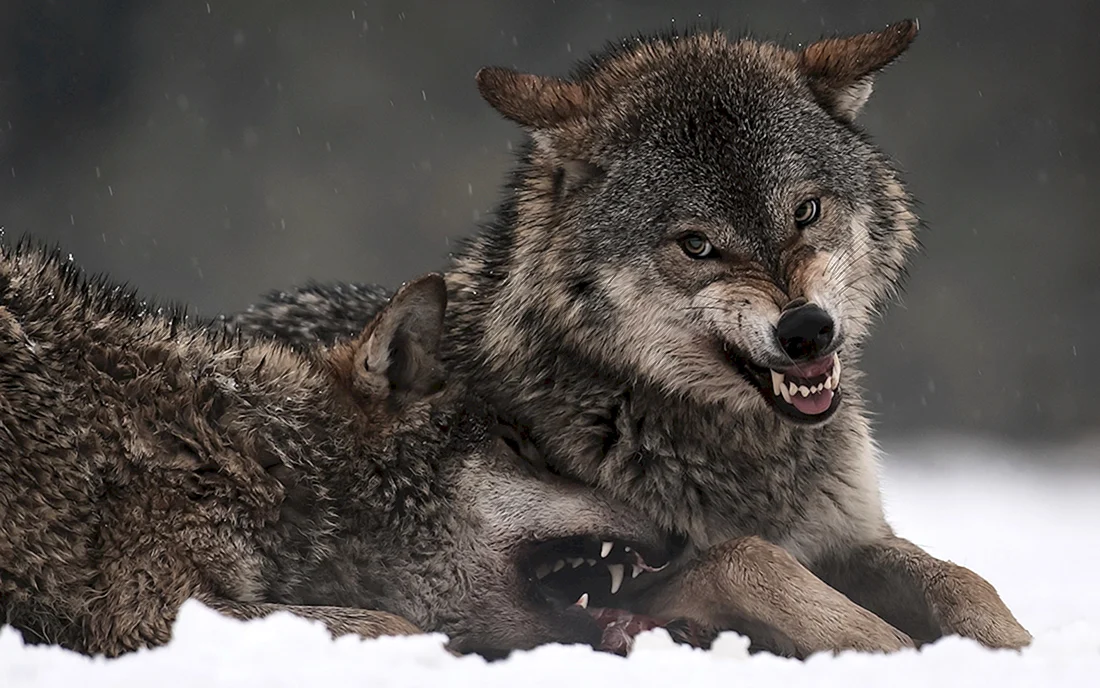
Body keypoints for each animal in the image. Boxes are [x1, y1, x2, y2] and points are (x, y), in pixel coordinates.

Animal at [227, 21, 1032, 656]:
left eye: (805, 211)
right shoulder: (617, 584)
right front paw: (888, 648)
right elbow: (751, 558)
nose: (807, 329)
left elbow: (963, 580)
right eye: (697, 245)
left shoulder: (851, 536)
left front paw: (1013, 648)